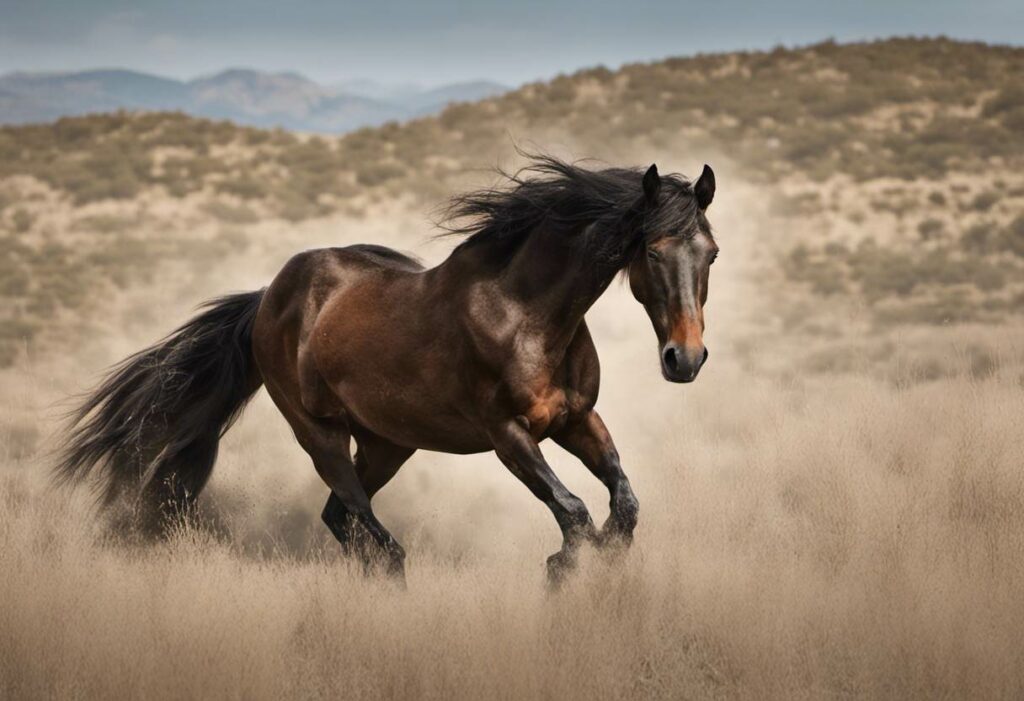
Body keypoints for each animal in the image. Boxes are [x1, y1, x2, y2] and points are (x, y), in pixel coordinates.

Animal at [58, 155, 720, 581]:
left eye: (710, 252)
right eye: (652, 251)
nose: (684, 359)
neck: (527, 313)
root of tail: (269, 297)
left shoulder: (577, 419)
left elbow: (623, 505)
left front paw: (599, 562)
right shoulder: (508, 436)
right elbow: (575, 514)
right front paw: (562, 571)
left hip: (388, 442)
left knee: (343, 520)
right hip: (320, 435)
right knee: (369, 530)